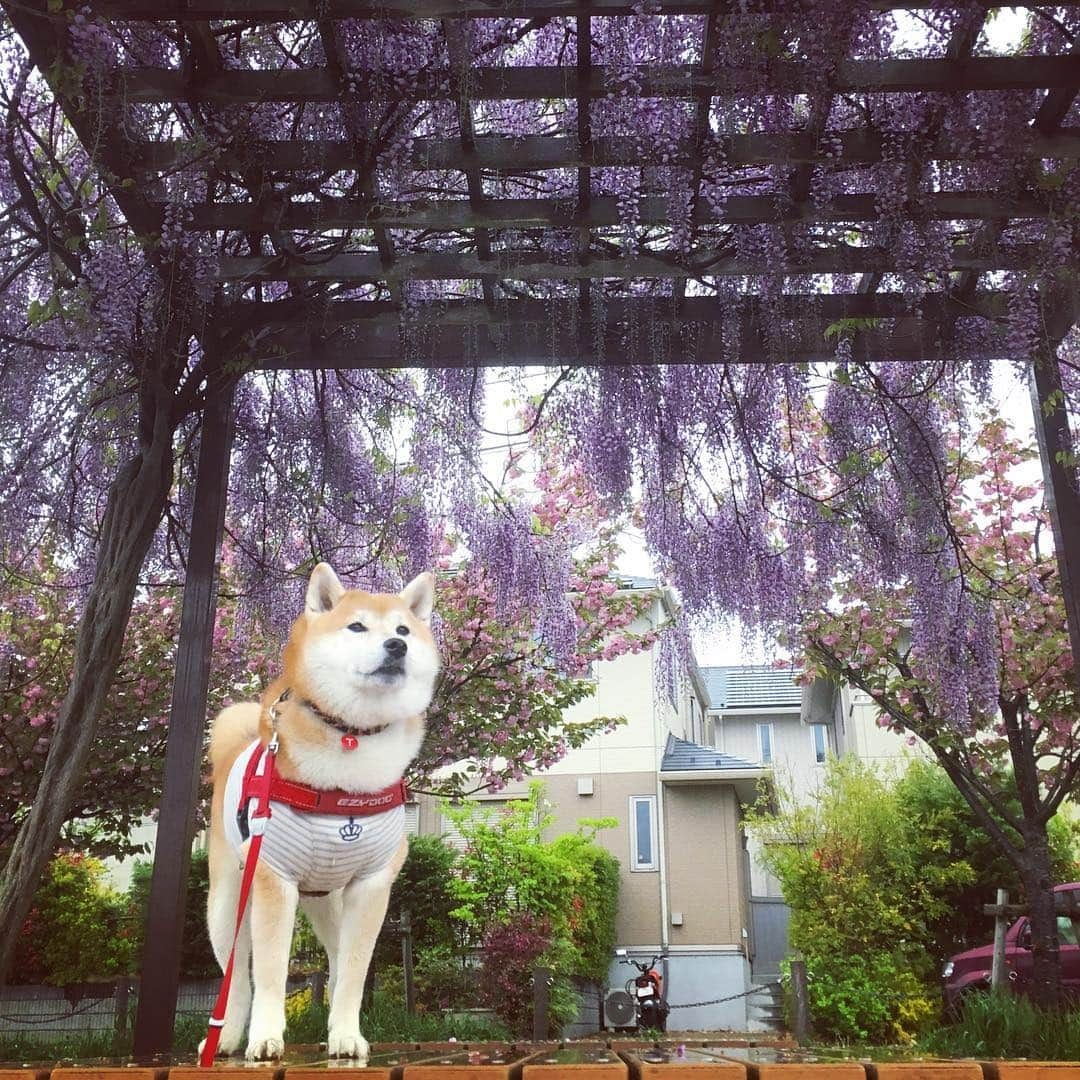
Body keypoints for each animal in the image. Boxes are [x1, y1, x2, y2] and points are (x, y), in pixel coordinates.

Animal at [203, 565, 438, 1062]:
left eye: (404, 630)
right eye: (357, 626)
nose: (397, 647)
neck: (350, 735)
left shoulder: (370, 885)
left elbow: (352, 972)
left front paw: (346, 1034)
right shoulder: (273, 878)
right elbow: (270, 972)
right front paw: (266, 1036)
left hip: (329, 902)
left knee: (334, 962)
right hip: (228, 902)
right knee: (237, 978)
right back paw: (227, 1037)